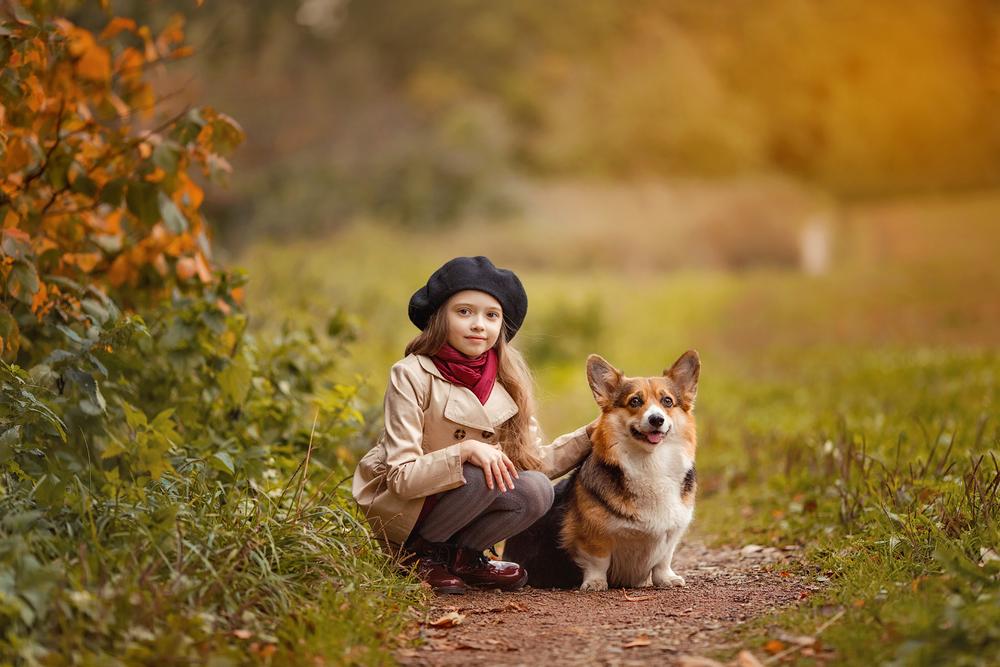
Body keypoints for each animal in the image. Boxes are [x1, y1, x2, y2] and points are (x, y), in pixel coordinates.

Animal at [504, 352, 700, 592]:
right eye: (635, 401)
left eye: (667, 401)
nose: (657, 419)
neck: (651, 463)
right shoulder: (592, 536)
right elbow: (598, 561)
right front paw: (595, 582)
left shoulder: (671, 534)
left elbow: (663, 560)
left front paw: (667, 579)